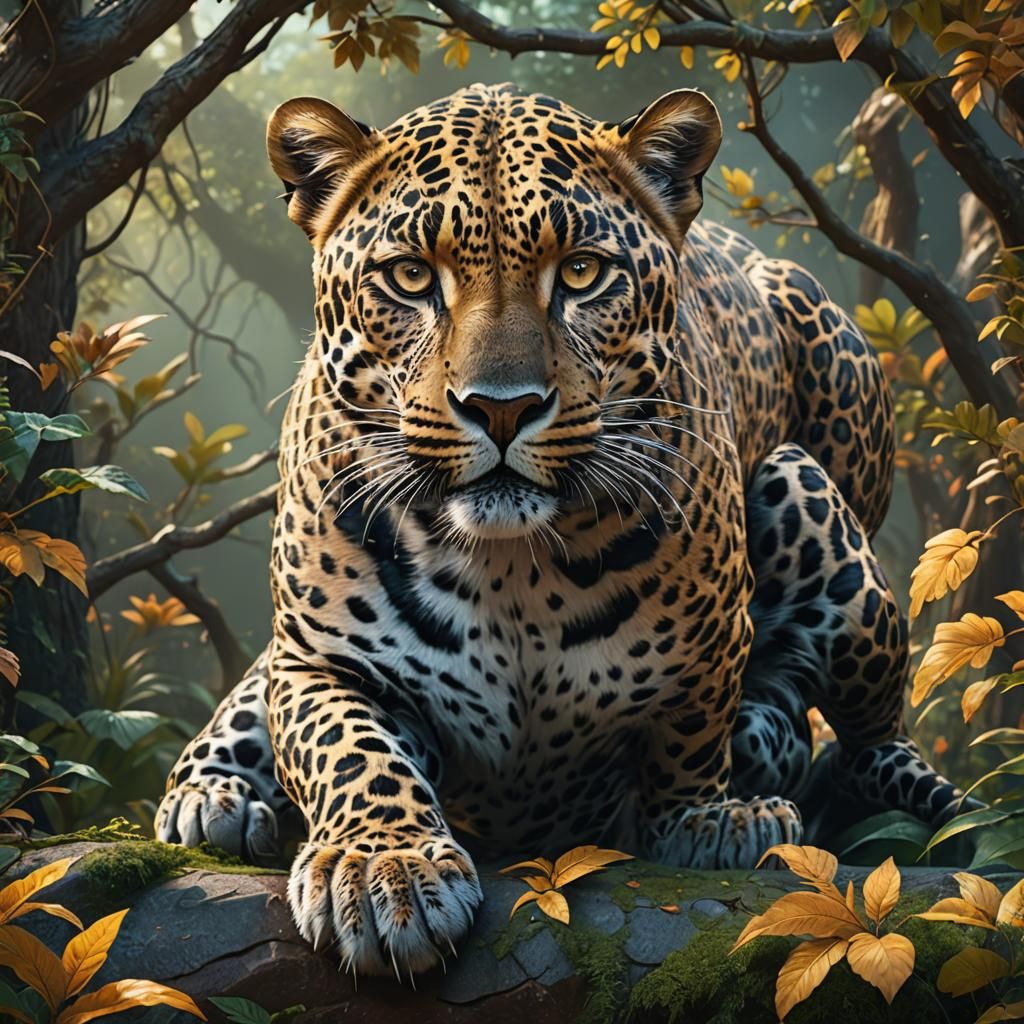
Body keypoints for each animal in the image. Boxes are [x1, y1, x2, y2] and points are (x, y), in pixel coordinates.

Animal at [156, 83, 969, 977]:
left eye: (581, 272)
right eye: (410, 276)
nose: (500, 407)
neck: (509, 570)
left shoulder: (714, 649)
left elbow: (690, 732)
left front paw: (706, 819)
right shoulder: (318, 662)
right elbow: (347, 750)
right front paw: (381, 871)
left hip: (818, 496)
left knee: (870, 735)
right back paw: (215, 796)